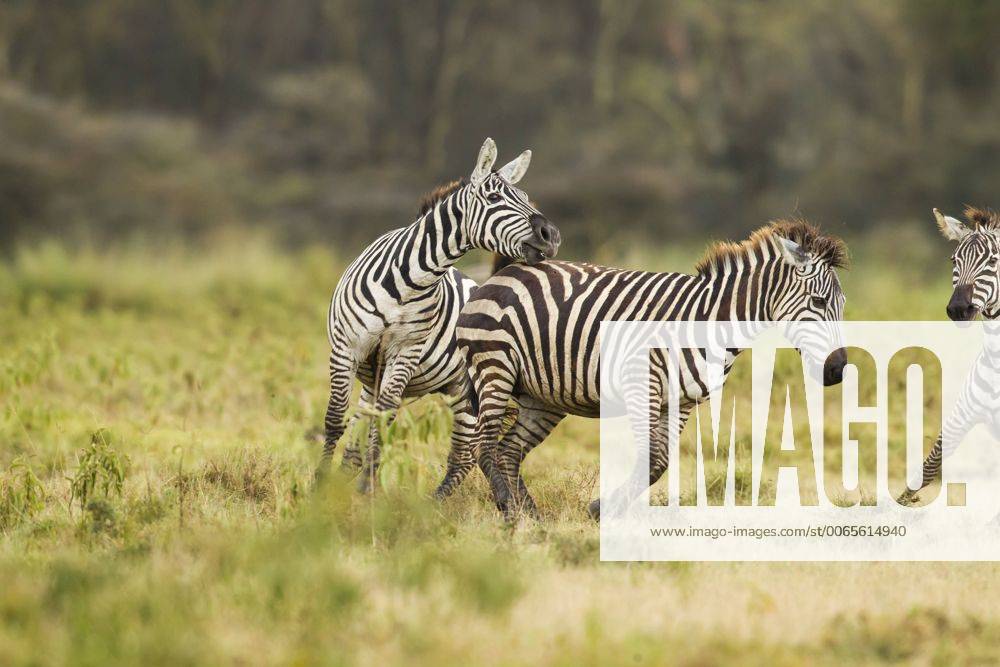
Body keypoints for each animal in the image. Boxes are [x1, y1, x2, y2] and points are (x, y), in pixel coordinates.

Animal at [319, 138, 561, 492]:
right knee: (358, 436)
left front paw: (368, 491)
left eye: (526, 198)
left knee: (463, 455)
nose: (552, 236)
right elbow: (337, 419)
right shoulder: (346, 347)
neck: (408, 281)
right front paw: (320, 489)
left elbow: (382, 424)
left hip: (468, 386)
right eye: (494, 198)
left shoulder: (404, 354)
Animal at [436, 219, 850, 519]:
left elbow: (660, 464)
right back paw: (509, 510)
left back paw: (531, 518)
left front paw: (601, 508)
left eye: (843, 305)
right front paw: (600, 509)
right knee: (486, 446)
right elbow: (652, 460)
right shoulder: (642, 385)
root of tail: (505, 273)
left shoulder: (680, 404)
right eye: (819, 301)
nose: (838, 371)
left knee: (508, 450)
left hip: (543, 398)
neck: (708, 321)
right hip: (496, 367)